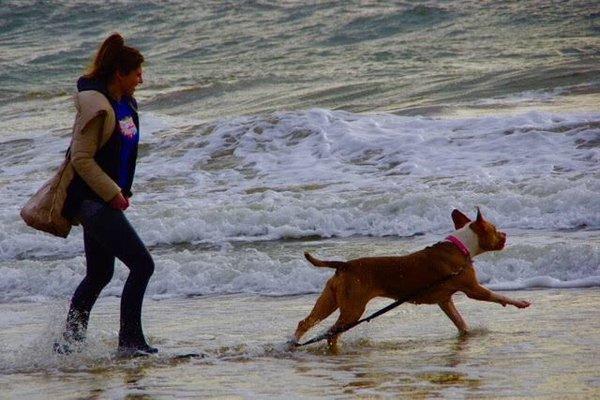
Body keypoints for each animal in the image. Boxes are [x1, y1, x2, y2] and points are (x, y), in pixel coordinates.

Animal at [292, 209, 532, 346]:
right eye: (495, 229)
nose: (505, 235)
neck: (461, 246)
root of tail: (344, 265)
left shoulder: (445, 301)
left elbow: (459, 321)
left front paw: (466, 333)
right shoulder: (474, 289)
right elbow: (498, 296)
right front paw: (519, 302)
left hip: (329, 300)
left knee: (307, 321)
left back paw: (292, 344)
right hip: (353, 308)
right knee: (332, 332)